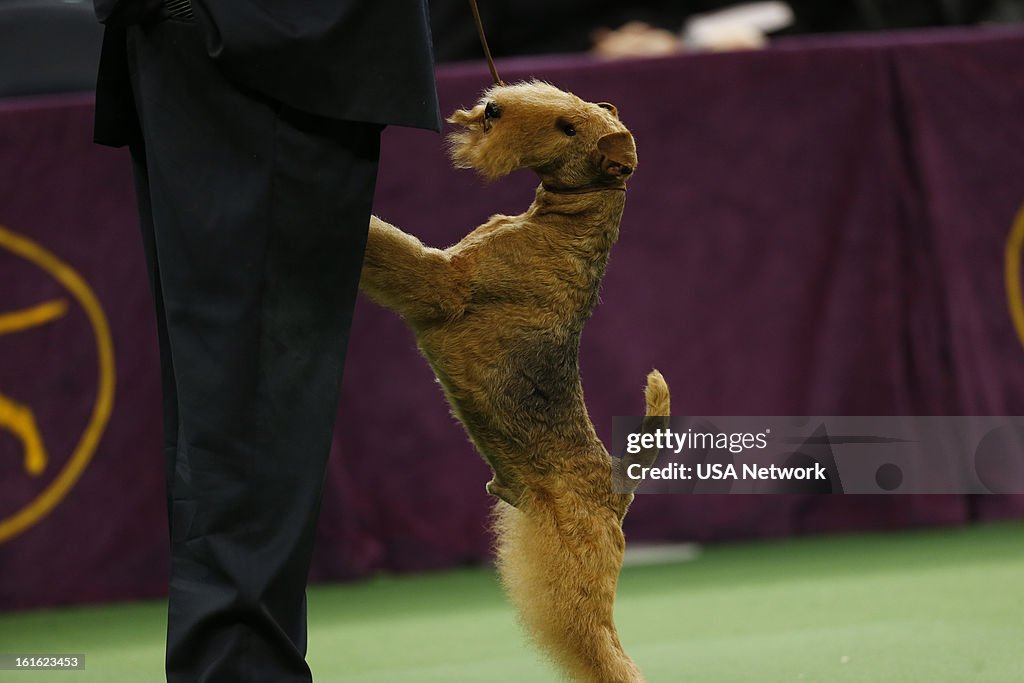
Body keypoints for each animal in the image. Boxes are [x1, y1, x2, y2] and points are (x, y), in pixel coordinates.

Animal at [360, 81, 671, 683]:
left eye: (568, 128)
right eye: (566, 107)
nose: (492, 108)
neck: (559, 224)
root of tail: (619, 483)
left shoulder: (444, 283)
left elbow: (392, 248)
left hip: (578, 579)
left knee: (612, 656)